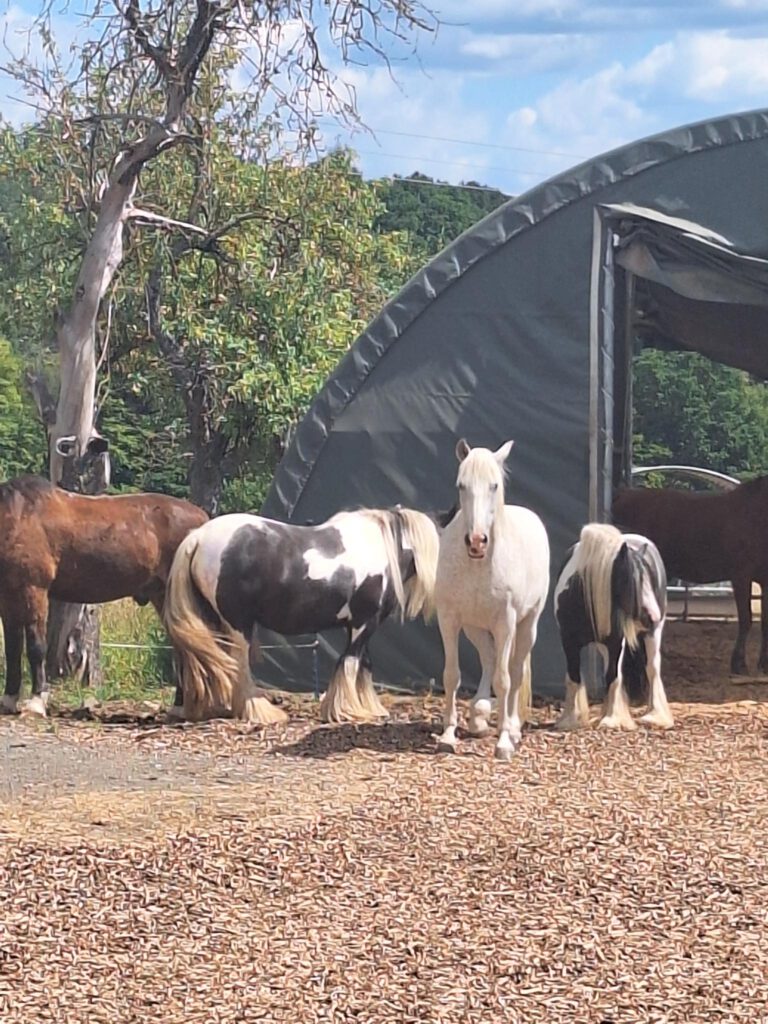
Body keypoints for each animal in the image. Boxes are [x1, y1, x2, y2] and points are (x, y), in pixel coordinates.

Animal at [0, 475, 208, 717]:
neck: (16, 515)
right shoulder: (9, 595)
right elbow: (12, 649)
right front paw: (8, 700)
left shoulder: (34, 589)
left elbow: (36, 647)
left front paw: (36, 702)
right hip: (163, 596)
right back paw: (179, 707)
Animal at [162, 506, 440, 724]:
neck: (380, 547)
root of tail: (198, 537)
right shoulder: (364, 622)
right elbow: (350, 663)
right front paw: (349, 711)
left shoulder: (357, 625)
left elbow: (363, 664)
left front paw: (367, 708)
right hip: (238, 624)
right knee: (239, 665)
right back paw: (261, 712)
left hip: (213, 621)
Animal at [434, 439, 550, 760]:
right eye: (461, 485)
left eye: (494, 485)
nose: (476, 541)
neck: (477, 563)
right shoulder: (449, 619)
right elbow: (451, 675)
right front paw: (448, 734)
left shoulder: (505, 623)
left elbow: (505, 679)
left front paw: (504, 741)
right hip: (475, 628)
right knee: (488, 659)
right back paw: (480, 717)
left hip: (527, 626)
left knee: (514, 672)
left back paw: (512, 728)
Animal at [553, 522, 673, 731]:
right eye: (629, 579)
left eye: (647, 577)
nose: (654, 616)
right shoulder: (568, 642)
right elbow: (574, 677)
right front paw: (570, 720)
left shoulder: (616, 642)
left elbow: (612, 677)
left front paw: (611, 719)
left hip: (652, 635)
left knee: (652, 668)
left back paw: (654, 716)